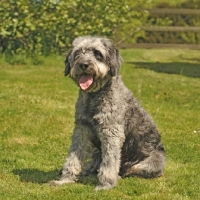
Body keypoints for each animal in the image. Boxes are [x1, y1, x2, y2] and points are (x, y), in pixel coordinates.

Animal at [50, 36, 166, 191]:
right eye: (78, 53)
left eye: (97, 53)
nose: (84, 64)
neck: (95, 97)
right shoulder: (82, 130)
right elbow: (73, 157)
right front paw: (65, 179)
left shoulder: (111, 133)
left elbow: (110, 162)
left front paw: (105, 185)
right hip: (96, 150)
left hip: (152, 162)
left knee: (130, 169)